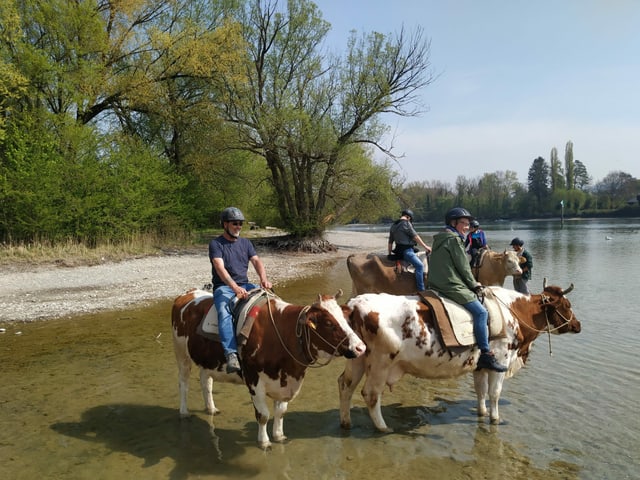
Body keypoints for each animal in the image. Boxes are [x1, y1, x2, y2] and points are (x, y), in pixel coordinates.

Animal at [172, 286, 364, 448]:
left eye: (346, 319)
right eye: (329, 323)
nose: (360, 347)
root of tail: (188, 294)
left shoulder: (284, 379)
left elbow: (280, 412)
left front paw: (279, 436)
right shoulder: (253, 380)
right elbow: (263, 415)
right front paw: (264, 442)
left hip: (207, 362)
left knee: (206, 382)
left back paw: (211, 408)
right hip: (181, 355)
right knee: (183, 383)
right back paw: (184, 412)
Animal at [338, 278, 584, 432]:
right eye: (567, 304)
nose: (578, 325)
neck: (511, 312)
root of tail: (355, 303)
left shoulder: (481, 364)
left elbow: (480, 390)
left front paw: (482, 413)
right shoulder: (501, 359)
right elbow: (494, 393)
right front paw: (495, 418)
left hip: (358, 359)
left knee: (345, 385)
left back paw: (346, 422)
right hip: (380, 363)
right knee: (370, 394)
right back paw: (382, 427)